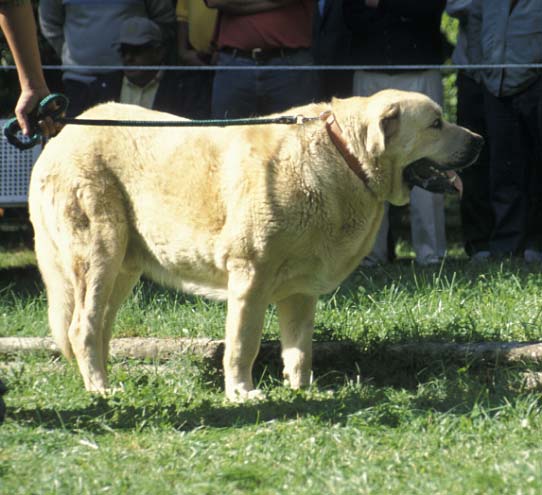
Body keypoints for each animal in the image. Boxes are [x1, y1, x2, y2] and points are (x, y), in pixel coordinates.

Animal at [28, 90, 484, 404]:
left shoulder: (301, 292)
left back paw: (103, 379)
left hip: (123, 265)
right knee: (82, 326)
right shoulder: (249, 277)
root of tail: (64, 134)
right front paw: (242, 393)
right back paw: (101, 389)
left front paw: (304, 392)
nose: (480, 140)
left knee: (99, 325)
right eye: (436, 124)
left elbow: (300, 350)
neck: (345, 158)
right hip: (99, 251)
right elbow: (243, 344)